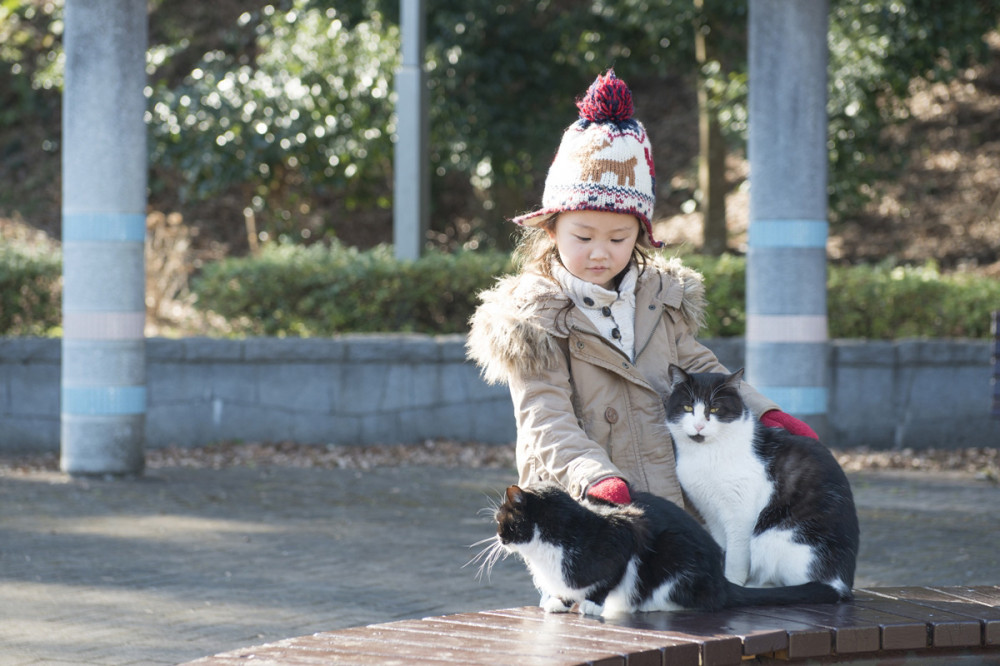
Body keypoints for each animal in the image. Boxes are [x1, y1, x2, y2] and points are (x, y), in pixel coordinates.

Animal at [476, 480, 844, 616]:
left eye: (501, 520)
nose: (497, 537)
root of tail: (723, 582)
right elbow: (567, 590)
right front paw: (559, 601)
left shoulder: (623, 540)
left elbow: (606, 580)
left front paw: (593, 605)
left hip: (675, 555)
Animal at [664, 364, 860, 596]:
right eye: (687, 407)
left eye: (714, 409)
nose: (699, 426)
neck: (706, 453)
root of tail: (840, 581)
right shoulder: (711, 513)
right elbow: (722, 548)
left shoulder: (741, 515)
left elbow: (735, 558)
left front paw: (732, 584)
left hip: (775, 537)